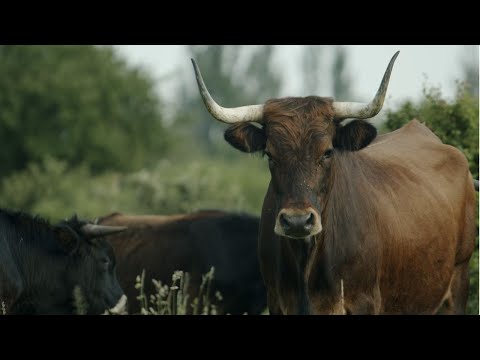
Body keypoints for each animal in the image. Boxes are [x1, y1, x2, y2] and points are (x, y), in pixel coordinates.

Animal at [190, 51, 476, 316]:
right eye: (270, 154)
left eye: (327, 152)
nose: (297, 221)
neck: (307, 263)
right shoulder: (277, 301)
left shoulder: (364, 302)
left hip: (458, 282)